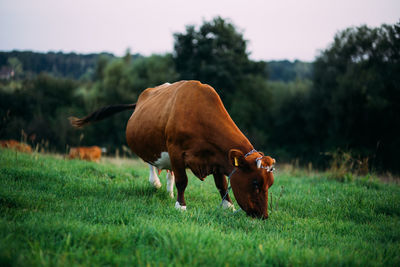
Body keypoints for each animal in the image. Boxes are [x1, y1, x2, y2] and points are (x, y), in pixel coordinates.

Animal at [69, 81, 276, 220]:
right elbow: (183, 181)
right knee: (152, 163)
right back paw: (155, 183)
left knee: (169, 172)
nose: (264, 216)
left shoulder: (216, 157)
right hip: (152, 145)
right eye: (255, 183)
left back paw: (168, 192)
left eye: (270, 184)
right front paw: (181, 206)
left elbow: (222, 184)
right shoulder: (176, 151)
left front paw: (228, 206)